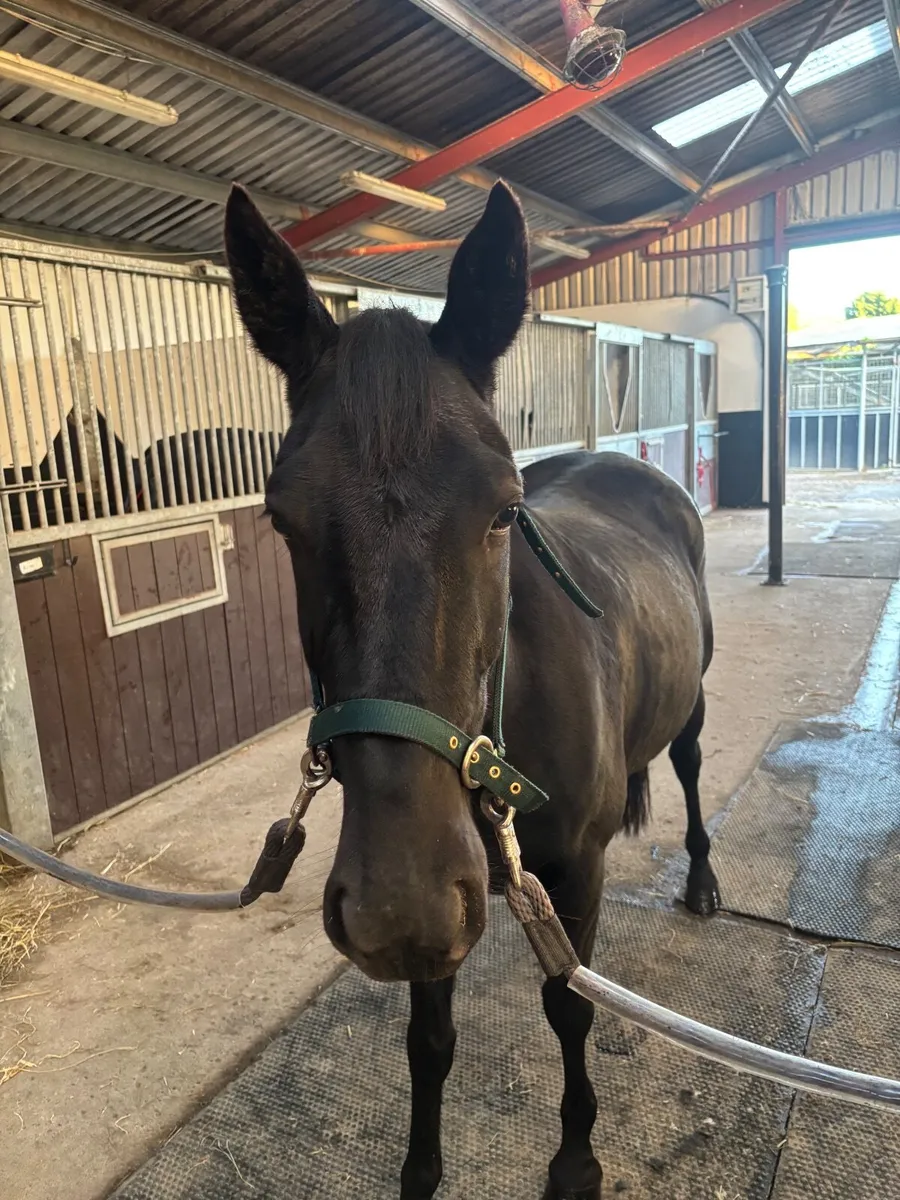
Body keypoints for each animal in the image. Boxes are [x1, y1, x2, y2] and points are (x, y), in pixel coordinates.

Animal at [224, 180, 720, 1200]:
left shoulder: (570, 872)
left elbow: (570, 1006)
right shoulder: (443, 900)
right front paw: (421, 1171)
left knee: (690, 770)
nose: (394, 912)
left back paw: (700, 880)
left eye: (502, 510)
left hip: (691, 704)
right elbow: (429, 1040)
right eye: (281, 518)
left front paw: (575, 1161)